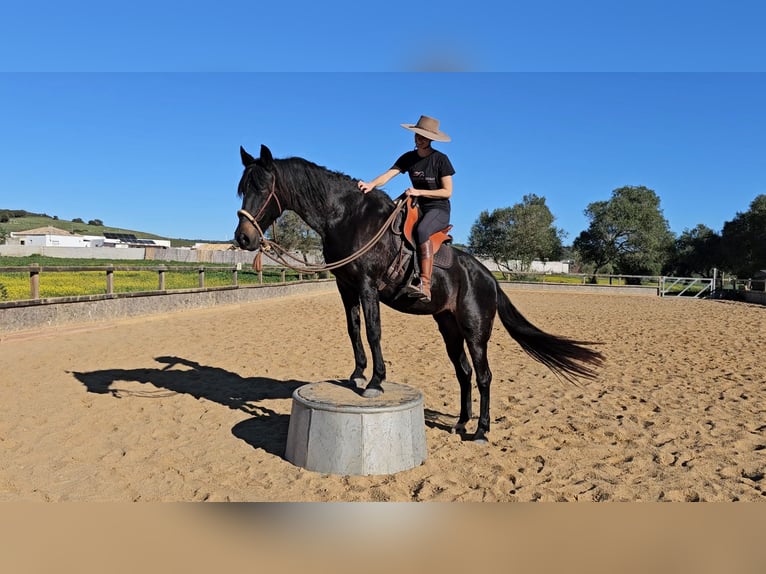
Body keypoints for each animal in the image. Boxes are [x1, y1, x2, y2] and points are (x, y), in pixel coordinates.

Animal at [236, 145, 608, 446]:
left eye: (262, 187)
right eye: (242, 188)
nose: (243, 238)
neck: (348, 218)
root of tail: (488, 277)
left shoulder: (368, 286)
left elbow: (373, 331)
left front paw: (375, 381)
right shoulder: (346, 287)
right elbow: (354, 330)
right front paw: (357, 374)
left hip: (475, 332)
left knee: (484, 376)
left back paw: (481, 430)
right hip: (449, 327)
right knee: (464, 372)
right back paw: (461, 423)